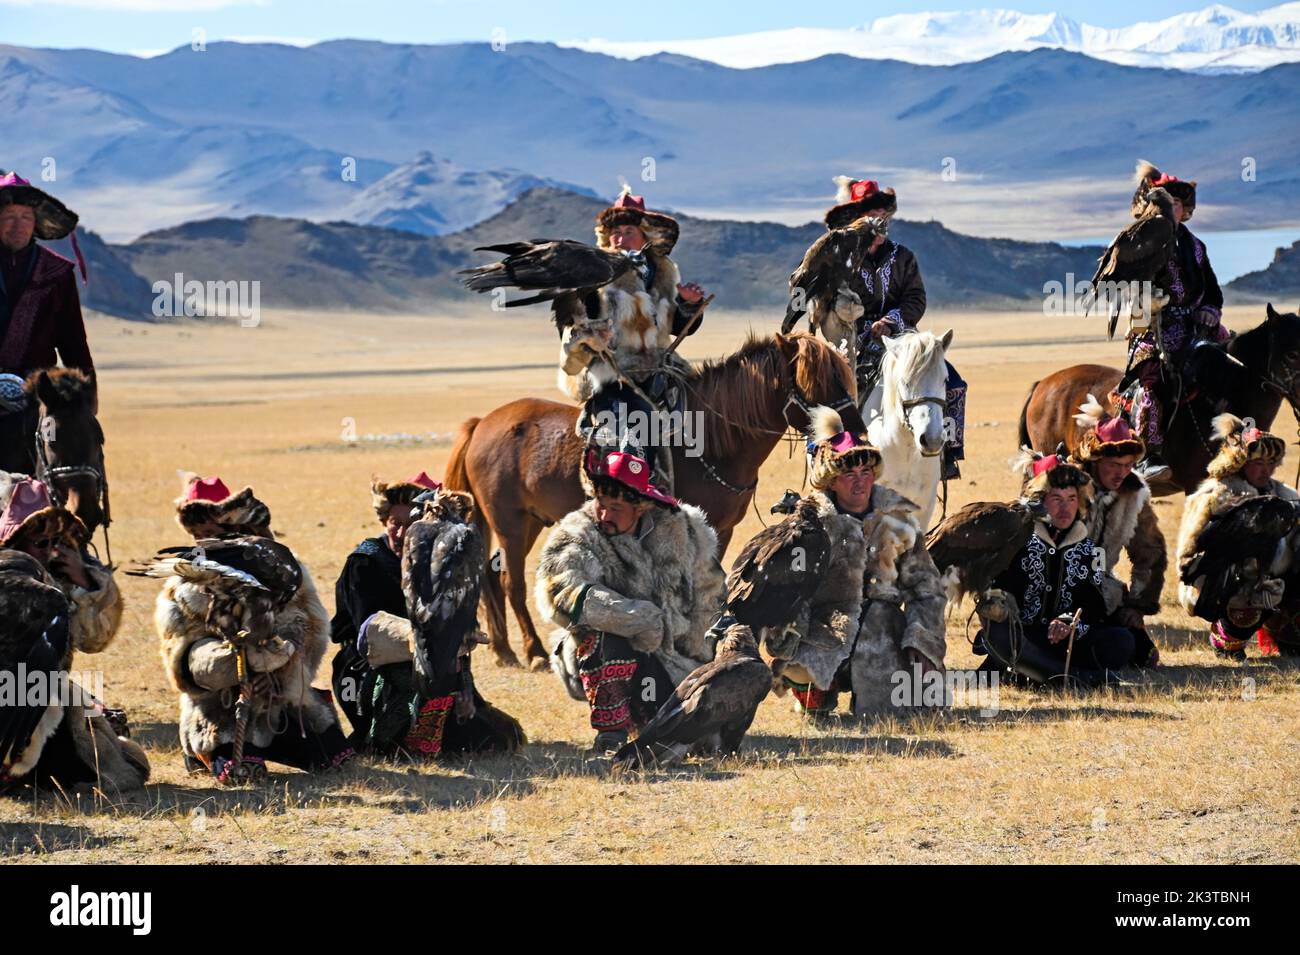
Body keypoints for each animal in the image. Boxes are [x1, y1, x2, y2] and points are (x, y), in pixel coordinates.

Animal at [447, 332, 863, 670]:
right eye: (814, 382)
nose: (854, 433)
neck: (710, 439)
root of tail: (482, 424)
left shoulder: (721, 530)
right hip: (510, 523)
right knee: (510, 582)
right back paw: (532, 652)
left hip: (530, 520)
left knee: (490, 576)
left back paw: (504, 650)